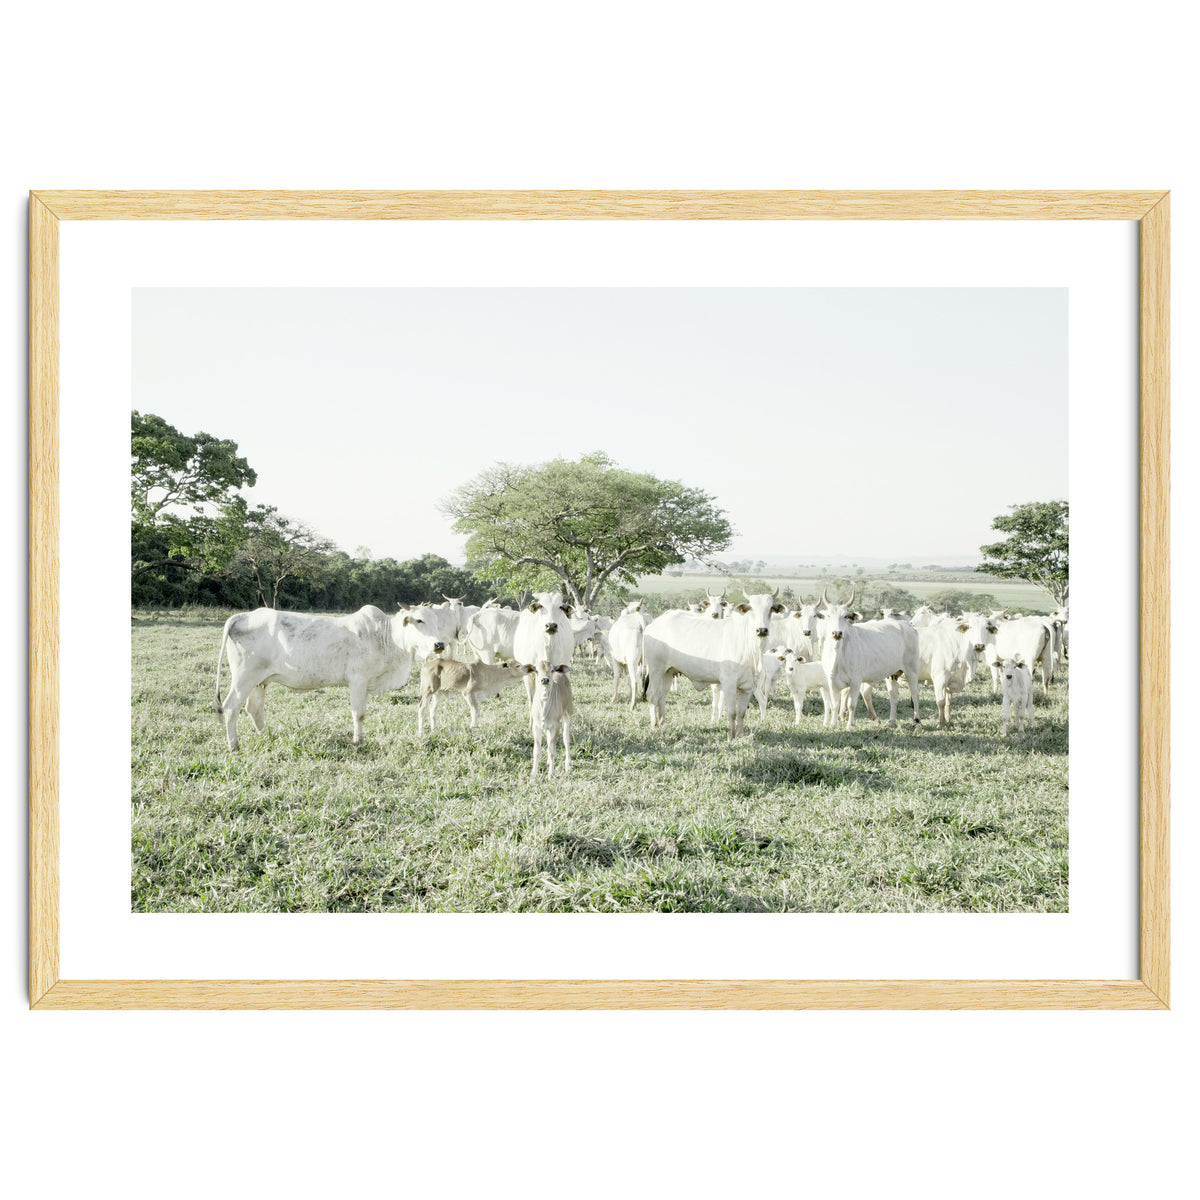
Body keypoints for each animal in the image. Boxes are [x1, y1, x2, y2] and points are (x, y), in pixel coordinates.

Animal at [214, 605, 445, 751]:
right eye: (419, 620)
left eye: (436, 620)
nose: (439, 644)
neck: (386, 637)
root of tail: (243, 615)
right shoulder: (358, 680)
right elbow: (358, 714)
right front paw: (358, 741)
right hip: (244, 678)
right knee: (230, 707)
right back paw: (234, 746)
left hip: (259, 681)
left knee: (254, 709)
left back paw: (266, 736)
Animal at [642, 590, 785, 739]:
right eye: (751, 608)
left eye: (770, 608)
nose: (761, 630)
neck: (751, 647)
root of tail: (652, 625)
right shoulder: (729, 683)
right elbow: (732, 712)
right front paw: (731, 736)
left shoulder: (747, 687)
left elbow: (741, 713)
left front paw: (740, 735)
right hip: (655, 669)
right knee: (652, 695)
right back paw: (654, 724)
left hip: (668, 672)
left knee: (661, 697)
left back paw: (662, 723)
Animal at [820, 590, 921, 728]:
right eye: (829, 616)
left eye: (846, 616)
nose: (837, 633)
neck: (838, 655)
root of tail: (907, 625)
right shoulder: (831, 681)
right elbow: (835, 705)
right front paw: (833, 724)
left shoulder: (855, 681)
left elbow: (851, 705)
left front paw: (849, 725)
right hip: (892, 674)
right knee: (894, 696)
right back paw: (891, 721)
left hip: (912, 670)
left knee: (915, 693)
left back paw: (916, 721)